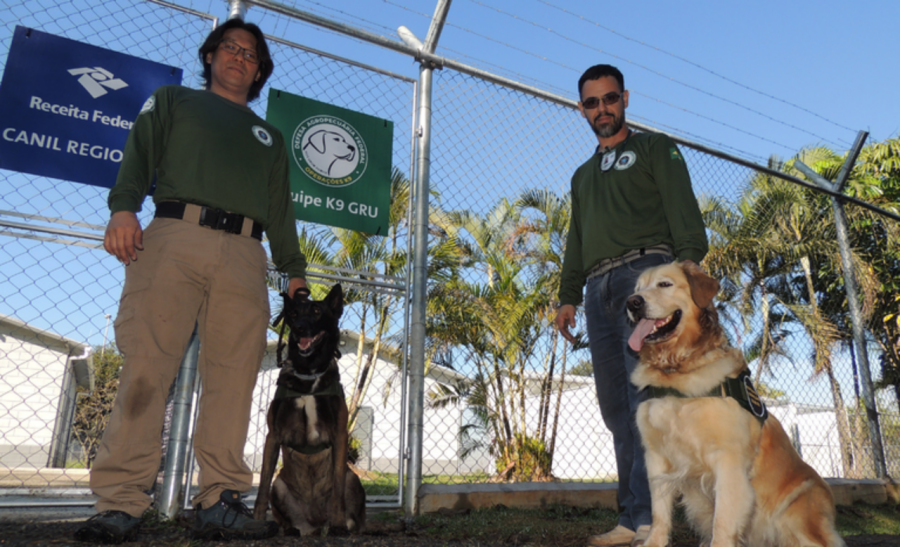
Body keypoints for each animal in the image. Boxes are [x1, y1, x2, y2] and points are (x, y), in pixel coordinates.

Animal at [251, 284, 364, 536]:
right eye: (293, 314)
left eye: (316, 311)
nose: (299, 327)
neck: (309, 373)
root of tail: (315, 523)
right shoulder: (273, 436)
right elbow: (261, 487)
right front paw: (256, 522)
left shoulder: (340, 435)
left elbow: (337, 489)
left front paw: (339, 524)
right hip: (280, 486)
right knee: (285, 513)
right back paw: (288, 529)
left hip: (353, 479)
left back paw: (340, 525)